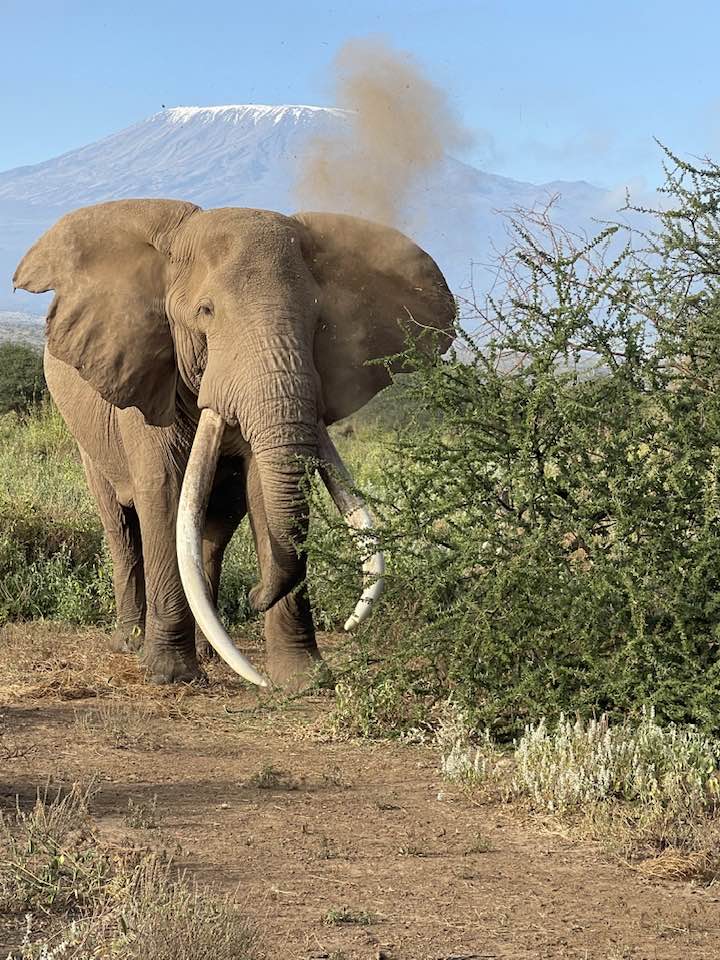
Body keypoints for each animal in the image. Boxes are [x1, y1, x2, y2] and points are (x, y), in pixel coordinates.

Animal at [12, 197, 456, 688]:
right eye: (206, 311)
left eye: (319, 321)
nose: (255, 594)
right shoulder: (145, 377)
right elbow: (164, 491)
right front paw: (169, 676)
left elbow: (264, 489)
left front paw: (302, 680)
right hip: (87, 437)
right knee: (122, 527)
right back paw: (130, 643)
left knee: (215, 527)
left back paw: (210, 650)